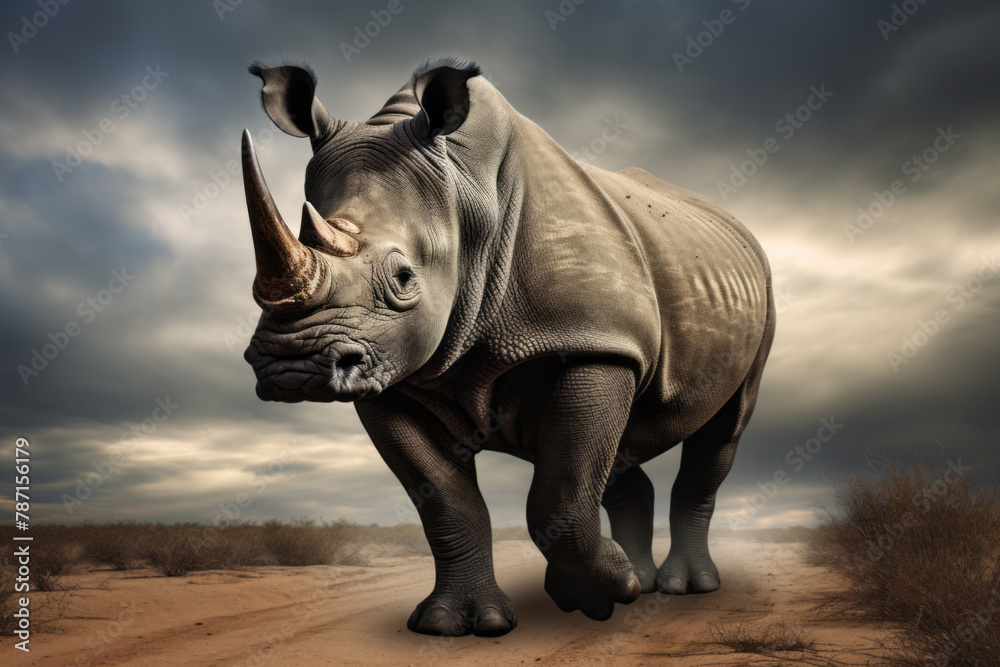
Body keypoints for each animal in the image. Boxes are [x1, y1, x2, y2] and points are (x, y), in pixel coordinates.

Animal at [241, 56, 775, 637]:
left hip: (756, 297)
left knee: (722, 430)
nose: (291, 366)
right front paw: (456, 624)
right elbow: (445, 502)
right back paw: (644, 580)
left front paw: (593, 597)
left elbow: (560, 492)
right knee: (619, 448)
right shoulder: (390, 374)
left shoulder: (593, 342)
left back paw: (684, 587)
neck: (465, 194)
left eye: (404, 279)